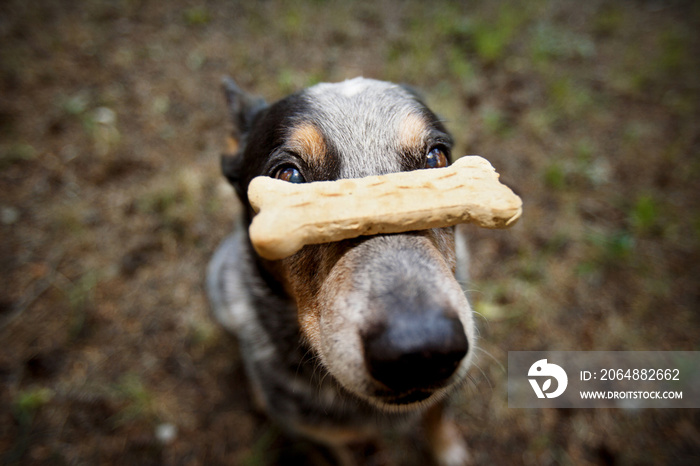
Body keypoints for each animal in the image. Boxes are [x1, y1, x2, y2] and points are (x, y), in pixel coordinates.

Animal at [205, 77, 474, 466]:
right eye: (289, 177)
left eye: (437, 158)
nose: (422, 349)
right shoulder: (318, 438)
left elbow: (438, 416)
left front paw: (448, 450)